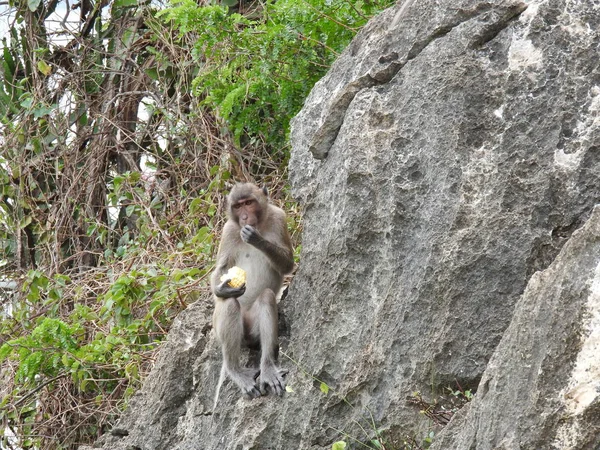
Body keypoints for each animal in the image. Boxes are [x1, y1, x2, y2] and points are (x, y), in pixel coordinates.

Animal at [211, 181, 296, 400]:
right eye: (238, 206)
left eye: (249, 203)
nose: (244, 218)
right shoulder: (228, 230)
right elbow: (221, 269)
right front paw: (222, 288)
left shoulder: (279, 217)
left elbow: (288, 264)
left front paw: (257, 240)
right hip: (222, 331)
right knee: (230, 304)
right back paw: (234, 370)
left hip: (253, 330)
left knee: (266, 297)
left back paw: (267, 368)